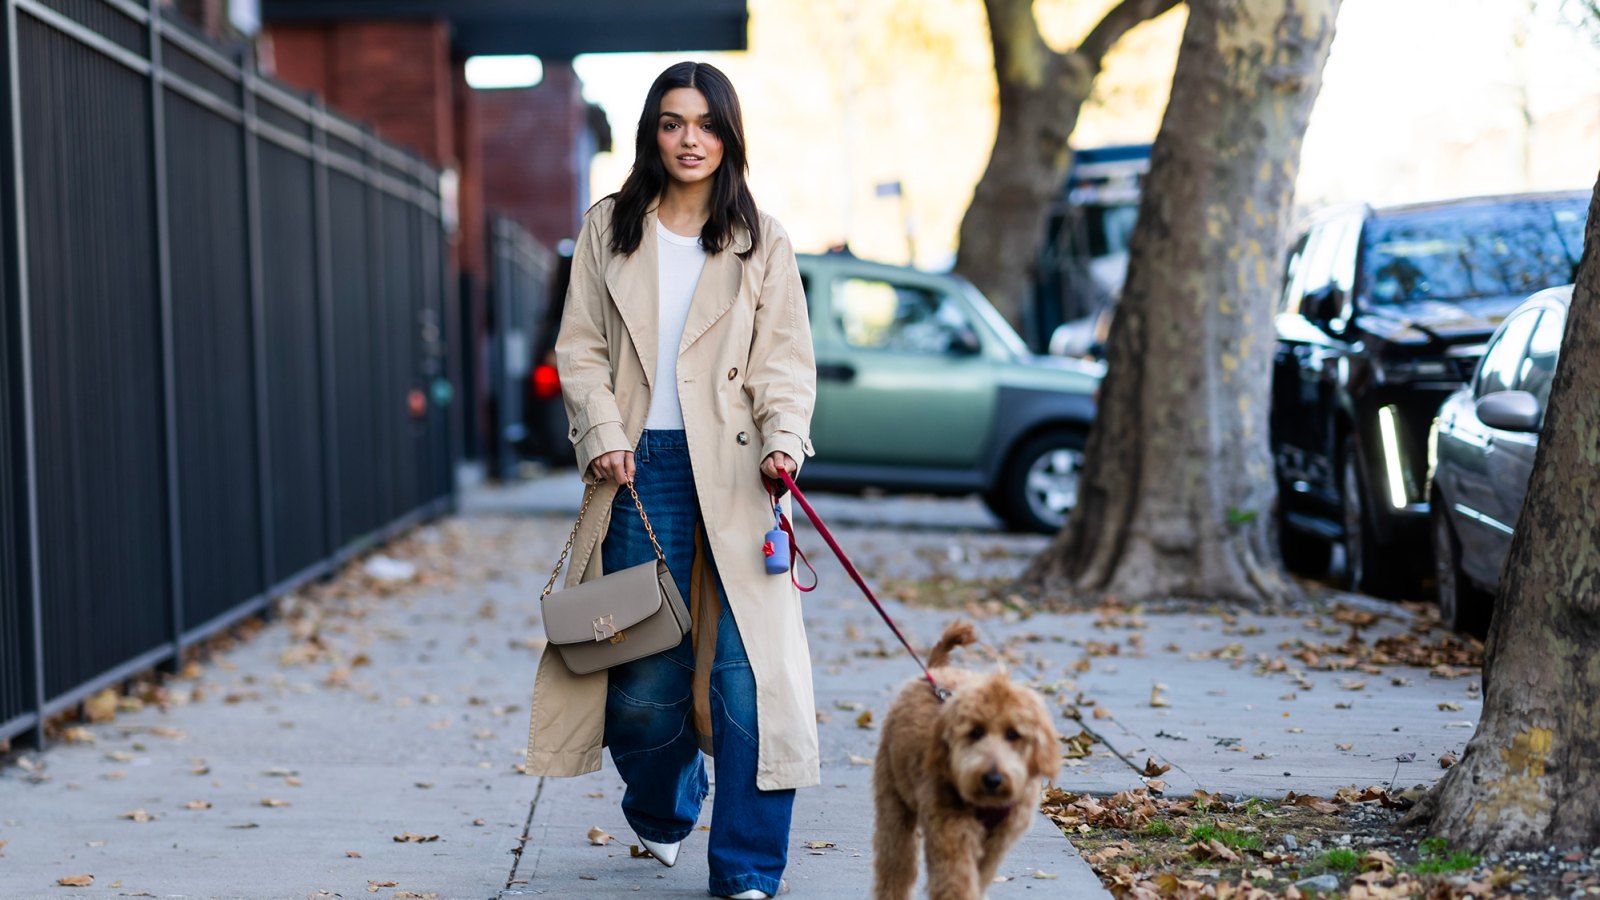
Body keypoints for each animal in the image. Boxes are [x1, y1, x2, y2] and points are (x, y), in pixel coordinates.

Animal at [876, 621, 1062, 890]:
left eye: (1013, 734)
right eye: (975, 732)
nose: (992, 779)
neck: (987, 804)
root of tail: (936, 671)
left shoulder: (996, 844)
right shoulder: (950, 835)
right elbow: (956, 883)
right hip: (893, 797)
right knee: (896, 864)